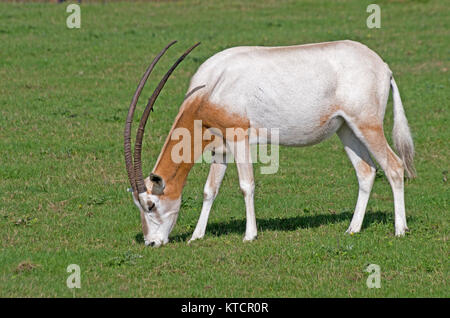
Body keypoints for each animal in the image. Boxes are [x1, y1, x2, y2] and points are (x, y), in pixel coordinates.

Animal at [123, 39, 414, 247]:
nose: (151, 242)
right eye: (139, 206)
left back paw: (400, 230)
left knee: (394, 167)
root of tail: (383, 67)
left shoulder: (239, 138)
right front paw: (197, 236)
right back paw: (352, 229)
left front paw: (249, 235)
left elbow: (246, 185)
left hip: (367, 125)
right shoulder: (221, 147)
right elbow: (209, 190)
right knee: (366, 171)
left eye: (150, 205)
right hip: (347, 129)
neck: (212, 86)